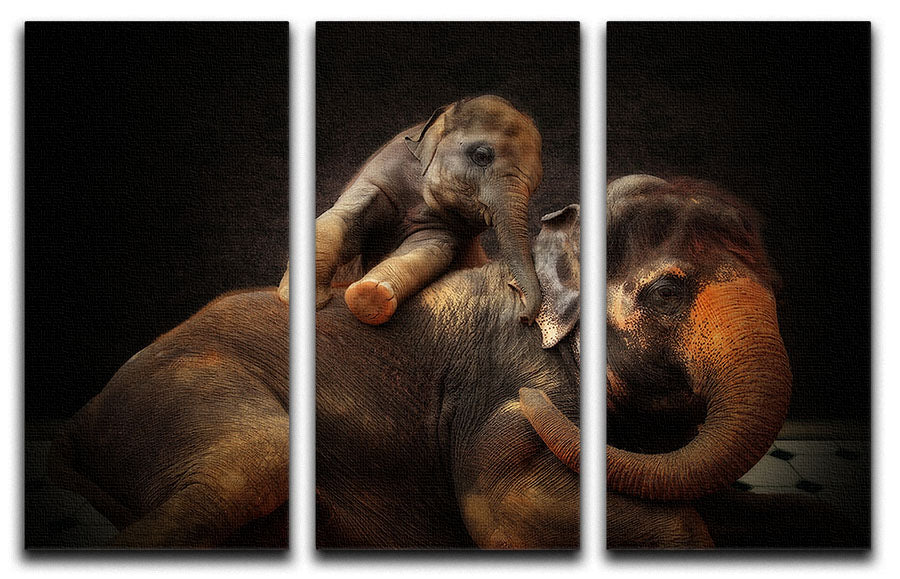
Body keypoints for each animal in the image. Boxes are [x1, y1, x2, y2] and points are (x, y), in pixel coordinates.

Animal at [315, 94, 544, 326]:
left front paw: (370, 293)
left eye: (535, 186)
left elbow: (425, 250)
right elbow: (339, 220)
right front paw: (320, 302)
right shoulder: (381, 174)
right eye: (481, 156)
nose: (523, 316)